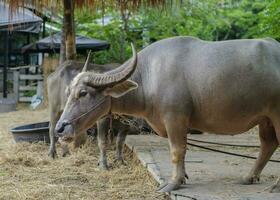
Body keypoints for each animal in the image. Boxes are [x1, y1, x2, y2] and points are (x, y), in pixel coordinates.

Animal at [54, 36, 280, 193]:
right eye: (68, 92)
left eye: (83, 93)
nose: (60, 128)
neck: (149, 76)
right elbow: (184, 150)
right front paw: (183, 176)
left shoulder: (174, 118)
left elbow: (176, 150)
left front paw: (173, 182)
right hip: (266, 119)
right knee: (268, 145)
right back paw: (249, 177)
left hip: (277, 115)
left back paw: (274, 186)